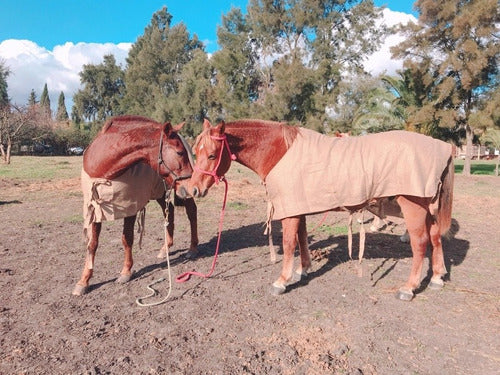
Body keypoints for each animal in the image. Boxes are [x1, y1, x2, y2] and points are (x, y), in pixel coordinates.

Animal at [72, 115, 197, 296]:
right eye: (179, 153)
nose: (192, 184)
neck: (104, 169)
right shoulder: (95, 209)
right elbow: (92, 244)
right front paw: (83, 281)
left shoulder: (129, 207)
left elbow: (127, 239)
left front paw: (125, 272)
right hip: (162, 190)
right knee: (170, 213)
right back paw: (165, 248)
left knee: (192, 212)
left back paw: (193, 248)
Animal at [178, 120, 456, 302]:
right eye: (195, 152)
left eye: (212, 155)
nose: (193, 190)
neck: (279, 151)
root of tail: (443, 147)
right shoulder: (298, 206)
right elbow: (302, 239)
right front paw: (303, 270)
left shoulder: (289, 210)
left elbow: (289, 243)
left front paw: (281, 281)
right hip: (427, 208)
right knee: (435, 238)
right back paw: (436, 277)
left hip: (413, 206)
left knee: (420, 243)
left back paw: (408, 287)